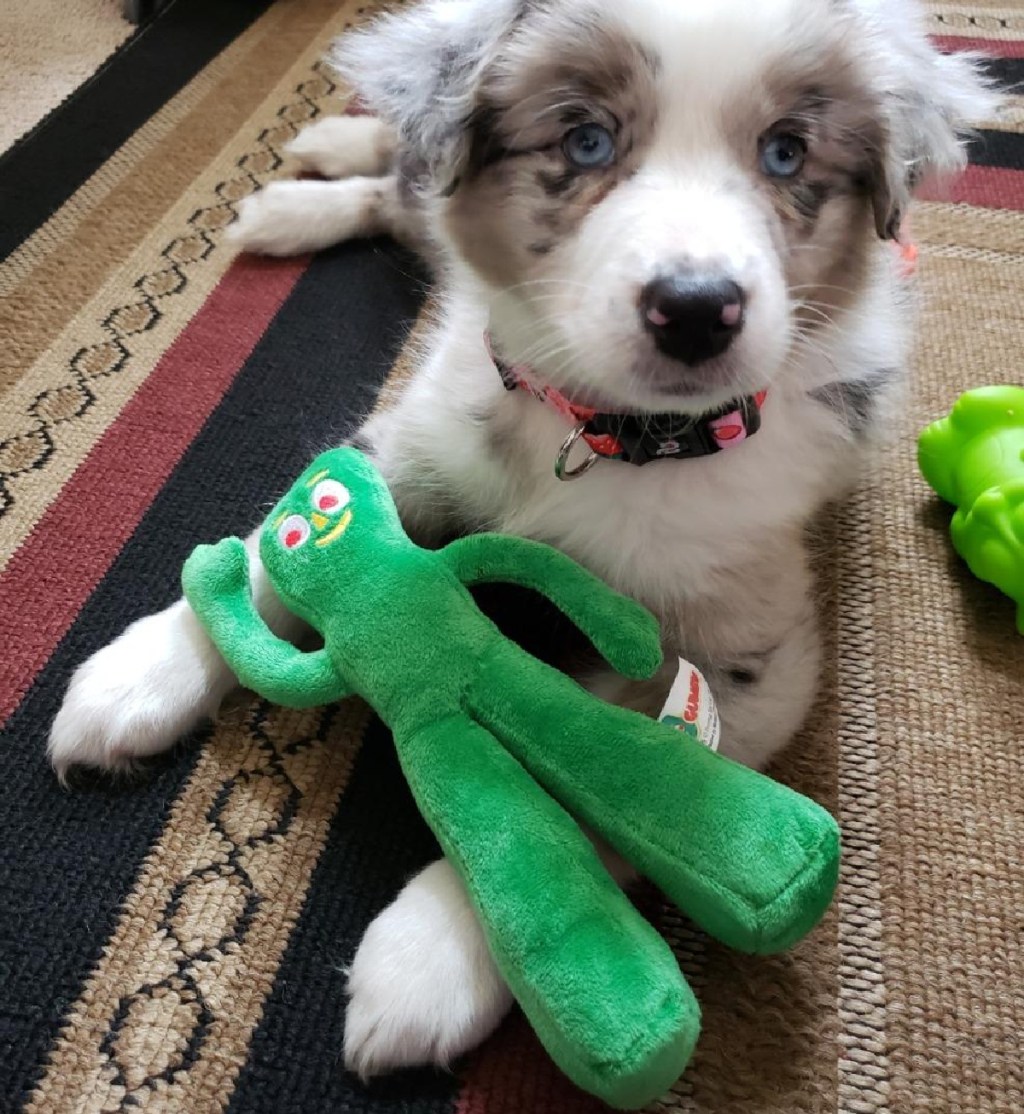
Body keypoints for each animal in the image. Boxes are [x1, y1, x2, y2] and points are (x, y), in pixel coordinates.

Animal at [47, 0, 993, 1082]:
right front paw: (138, 677)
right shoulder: (414, 446)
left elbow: (610, 777)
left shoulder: (758, 653)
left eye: (787, 152)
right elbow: (265, 552)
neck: (609, 437)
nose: (696, 309)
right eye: (584, 141)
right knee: (402, 186)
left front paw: (433, 957)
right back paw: (302, 185)